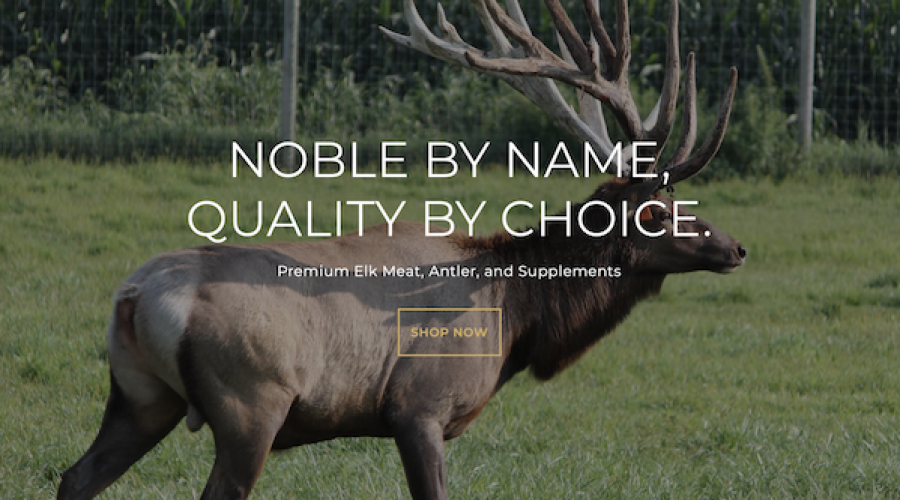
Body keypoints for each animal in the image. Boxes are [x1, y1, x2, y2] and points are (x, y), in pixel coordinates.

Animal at [57, 0, 745, 498]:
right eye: (657, 211)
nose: (736, 247)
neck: (516, 314)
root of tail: (133, 296)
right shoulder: (418, 408)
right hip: (249, 404)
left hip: (140, 396)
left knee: (75, 477)